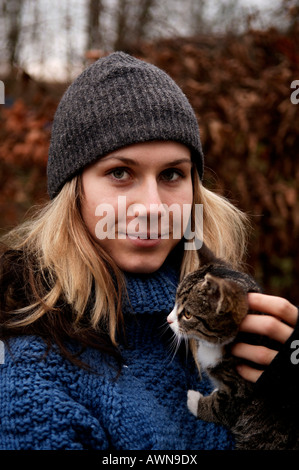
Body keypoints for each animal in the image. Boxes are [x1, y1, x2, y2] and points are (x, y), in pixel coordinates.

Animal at [168, 244, 298, 450]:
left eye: (187, 314)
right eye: (175, 303)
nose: (168, 319)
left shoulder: (241, 392)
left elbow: (220, 407)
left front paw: (194, 400)